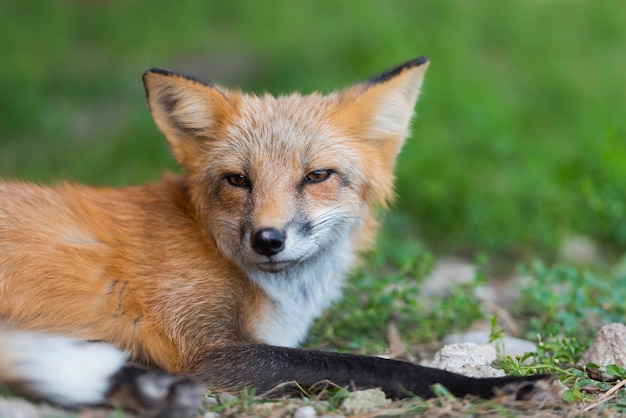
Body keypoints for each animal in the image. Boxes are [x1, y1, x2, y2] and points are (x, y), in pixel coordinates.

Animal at [0, 57, 544, 416]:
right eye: (238, 180)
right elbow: (377, 364)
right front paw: (497, 386)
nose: (267, 239)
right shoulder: (206, 352)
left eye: (317, 176)